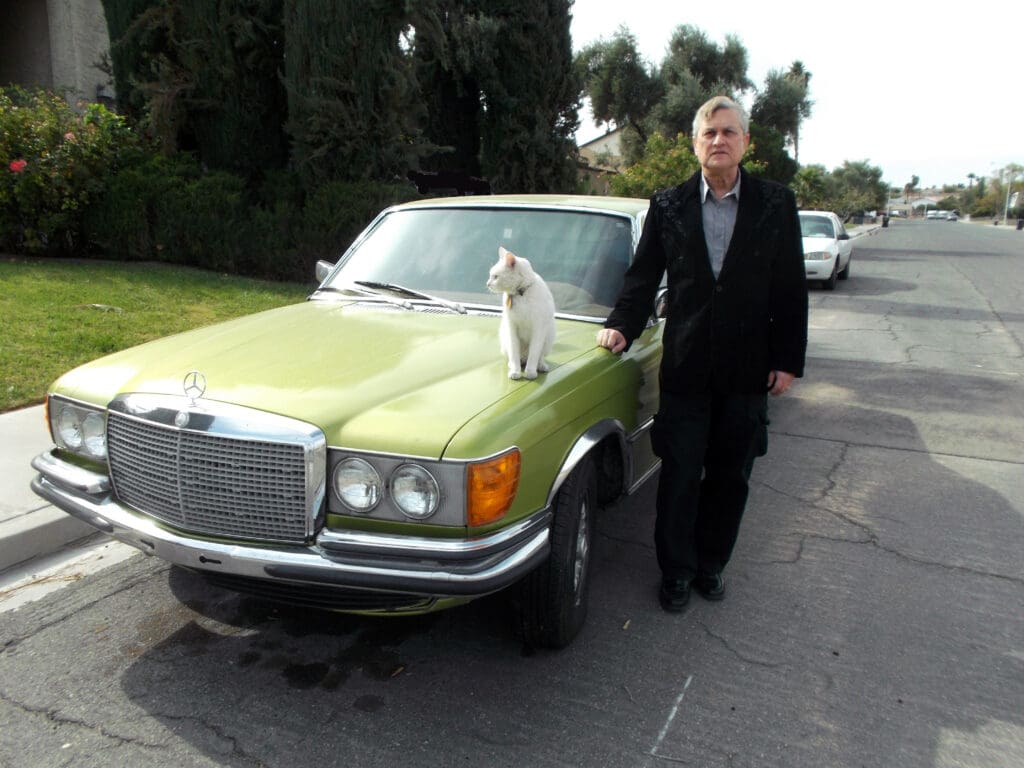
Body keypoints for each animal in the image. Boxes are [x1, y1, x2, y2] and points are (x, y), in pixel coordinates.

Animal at [485, 246, 557, 382]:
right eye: (491, 276)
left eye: (496, 277)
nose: (487, 284)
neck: (521, 294)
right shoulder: (511, 327)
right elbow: (514, 353)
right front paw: (515, 371)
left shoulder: (538, 328)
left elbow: (534, 353)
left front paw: (530, 372)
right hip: (504, 337)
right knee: (515, 356)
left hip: (549, 336)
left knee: (539, 356)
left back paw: (541, 366)